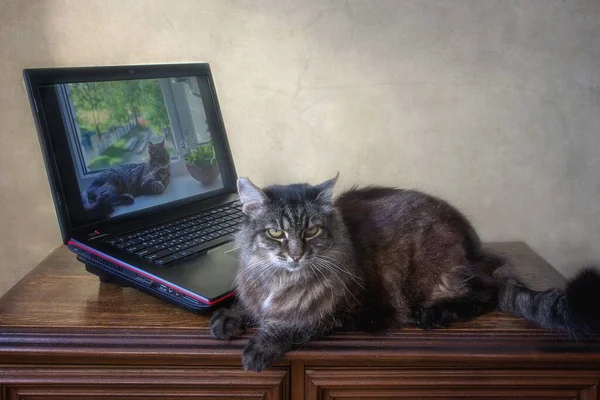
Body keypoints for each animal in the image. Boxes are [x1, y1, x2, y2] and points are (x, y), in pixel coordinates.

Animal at [210, 175, 600, 372]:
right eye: (276, 232)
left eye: (312, 231)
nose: (295, 254)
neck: (282, 280)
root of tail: (478, 251)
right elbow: (246, 305)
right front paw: (228, 317)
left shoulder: (348, 311)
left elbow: (293, 324)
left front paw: (259, 347)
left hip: (433, 272)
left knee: (486, 293)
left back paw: (436, 313)